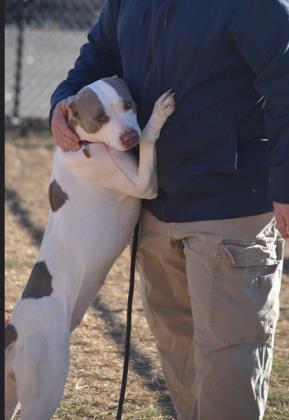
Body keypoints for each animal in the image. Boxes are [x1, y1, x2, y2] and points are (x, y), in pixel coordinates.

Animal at [5, 76, 176, 420]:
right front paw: (158, 115)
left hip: (10, 394)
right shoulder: (143, 184)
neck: (88, 145)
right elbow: (149, 139)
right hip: (44, 390)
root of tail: (13, 332)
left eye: (127, 104)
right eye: (99, 118)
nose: (128, 136)